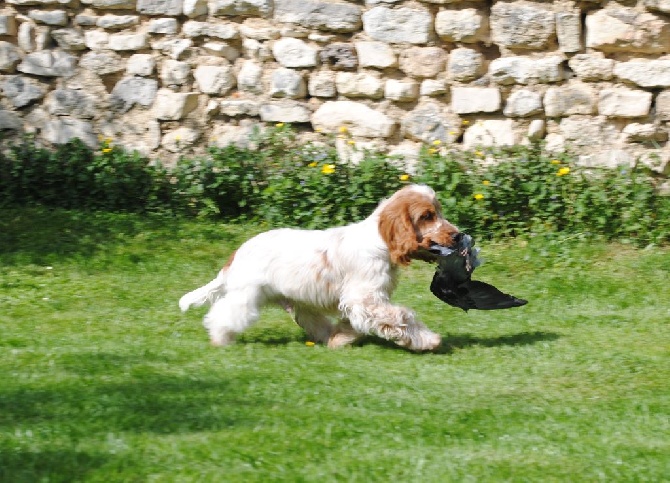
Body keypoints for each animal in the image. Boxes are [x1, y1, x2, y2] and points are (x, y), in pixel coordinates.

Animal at [178, 184, 462, 352]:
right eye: (427, 216)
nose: (458, 235)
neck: (379, 242)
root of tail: (237, 253)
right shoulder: (365, 298)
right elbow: (402, 317)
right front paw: (429, 340)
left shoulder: (359, 302)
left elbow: (354, 322)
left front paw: (342, 339)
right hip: (246, 296)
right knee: (222, 314)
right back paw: (220, 339)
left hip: (300, 302)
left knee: (314, 322)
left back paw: (329, 338)